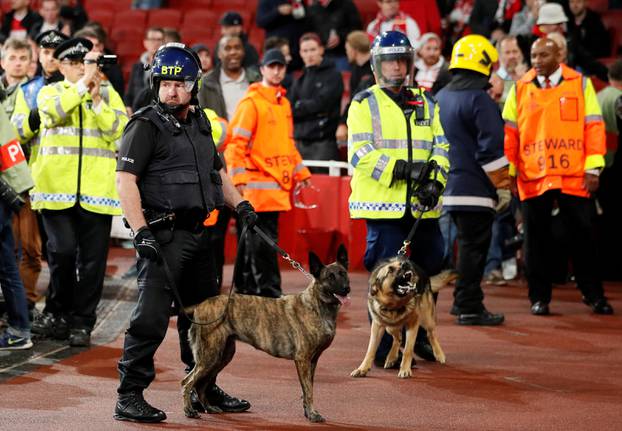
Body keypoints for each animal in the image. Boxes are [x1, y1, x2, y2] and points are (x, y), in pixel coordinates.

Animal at [183, 245, 354, 424]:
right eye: (330, 277)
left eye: (343, 273)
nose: (346, 289)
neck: (317, 305)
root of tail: (201, 305)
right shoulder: (303, 359)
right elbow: (308, 391)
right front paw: (313, 414)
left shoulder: (312, 361)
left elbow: (308, 389)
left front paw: (308, 412)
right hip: (210, 355)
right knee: (187, 382)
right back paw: (189, 411)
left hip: (222, 355)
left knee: (201, 385)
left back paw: (209, 408)